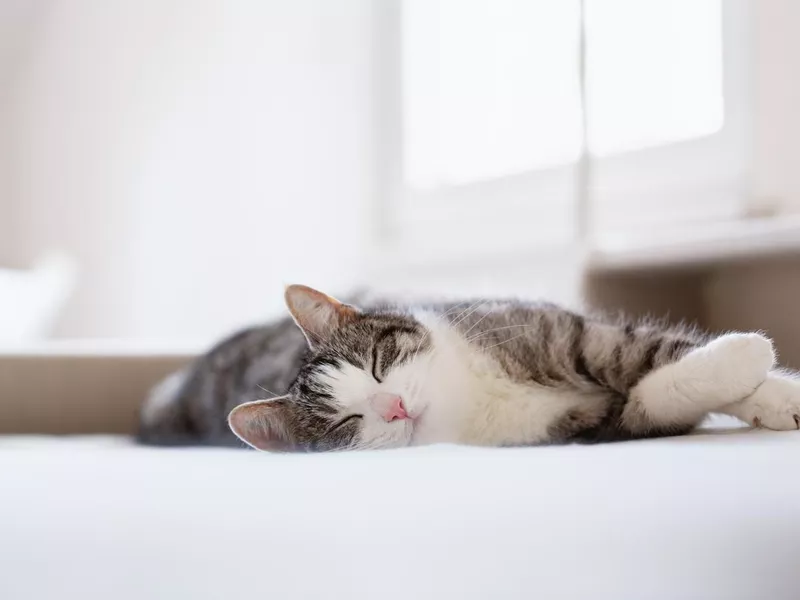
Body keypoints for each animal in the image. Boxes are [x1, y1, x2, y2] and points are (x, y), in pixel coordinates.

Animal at [138, 284, 800, 450]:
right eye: (344, 423)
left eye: (377, 364)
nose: (394, 406)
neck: (470, 396)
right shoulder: (596, 424)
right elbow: (657, 394)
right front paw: (746, 362)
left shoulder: (558, 332)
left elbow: (642, 350)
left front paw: (773, 392)